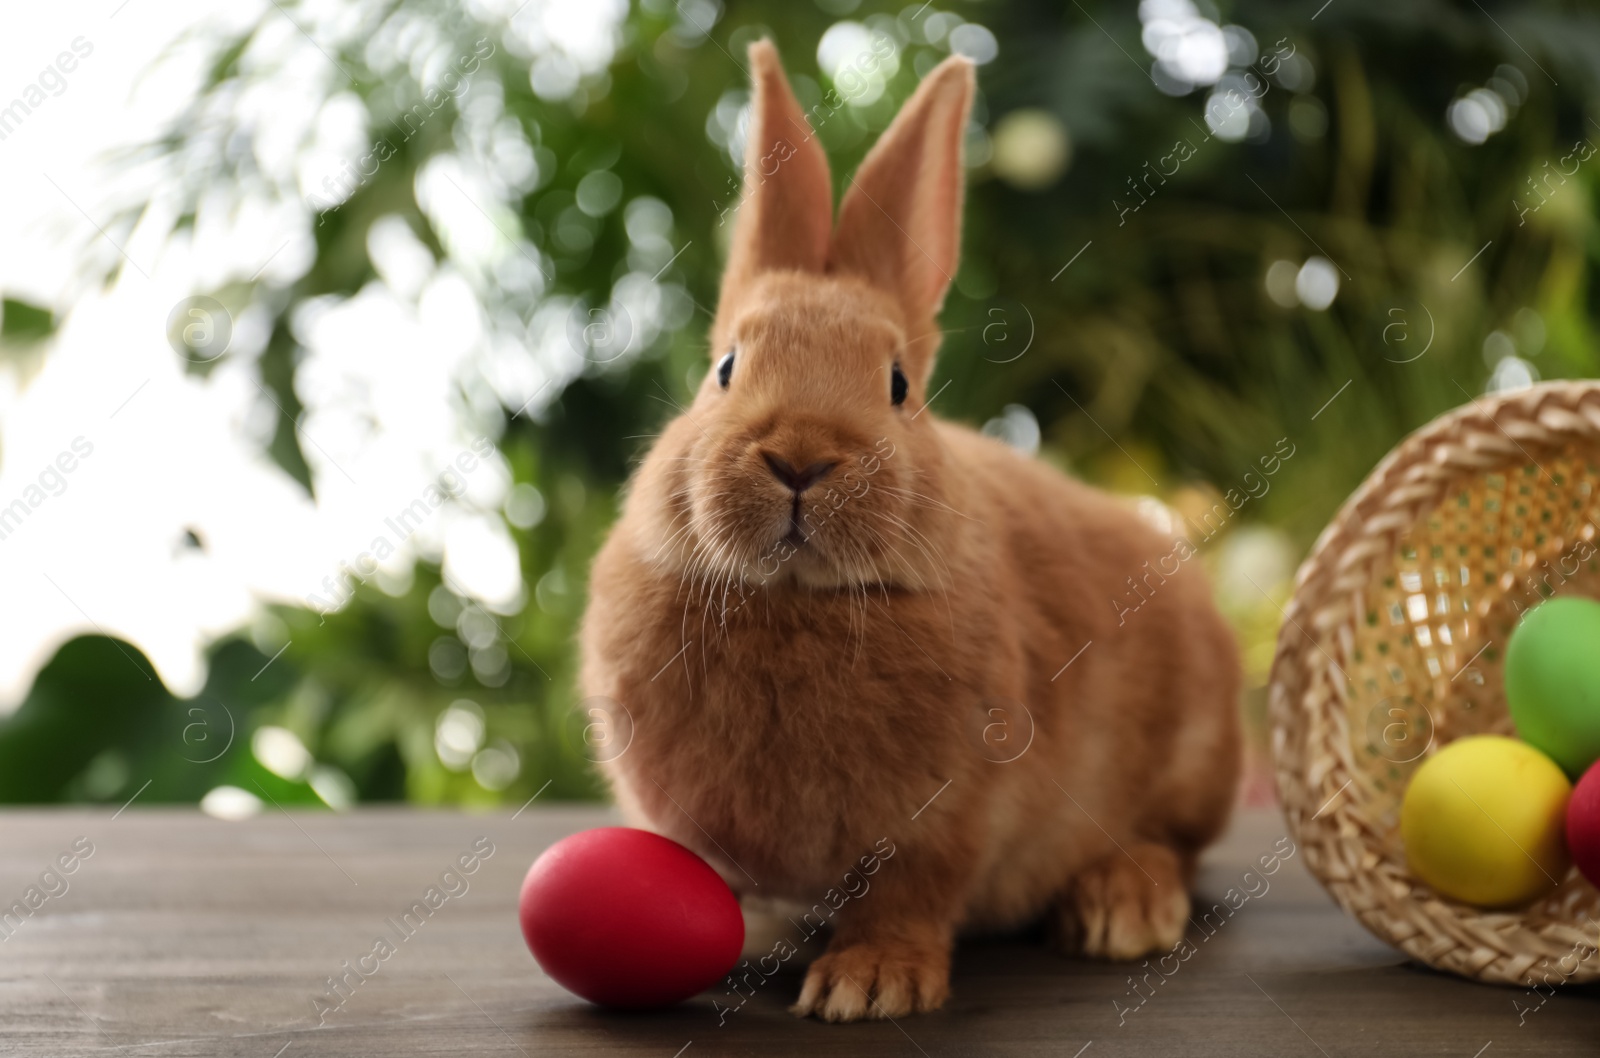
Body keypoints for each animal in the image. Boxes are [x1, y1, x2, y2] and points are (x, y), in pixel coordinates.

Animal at [582, 41, 1241, 1024]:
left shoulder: (948, 818)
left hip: (1191, 757)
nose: (801, 458)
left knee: (1175, 849)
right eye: (725, 369)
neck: (798, 601)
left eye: (898, 386)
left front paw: (868, 986)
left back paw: (1121, 909)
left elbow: (910, 896)